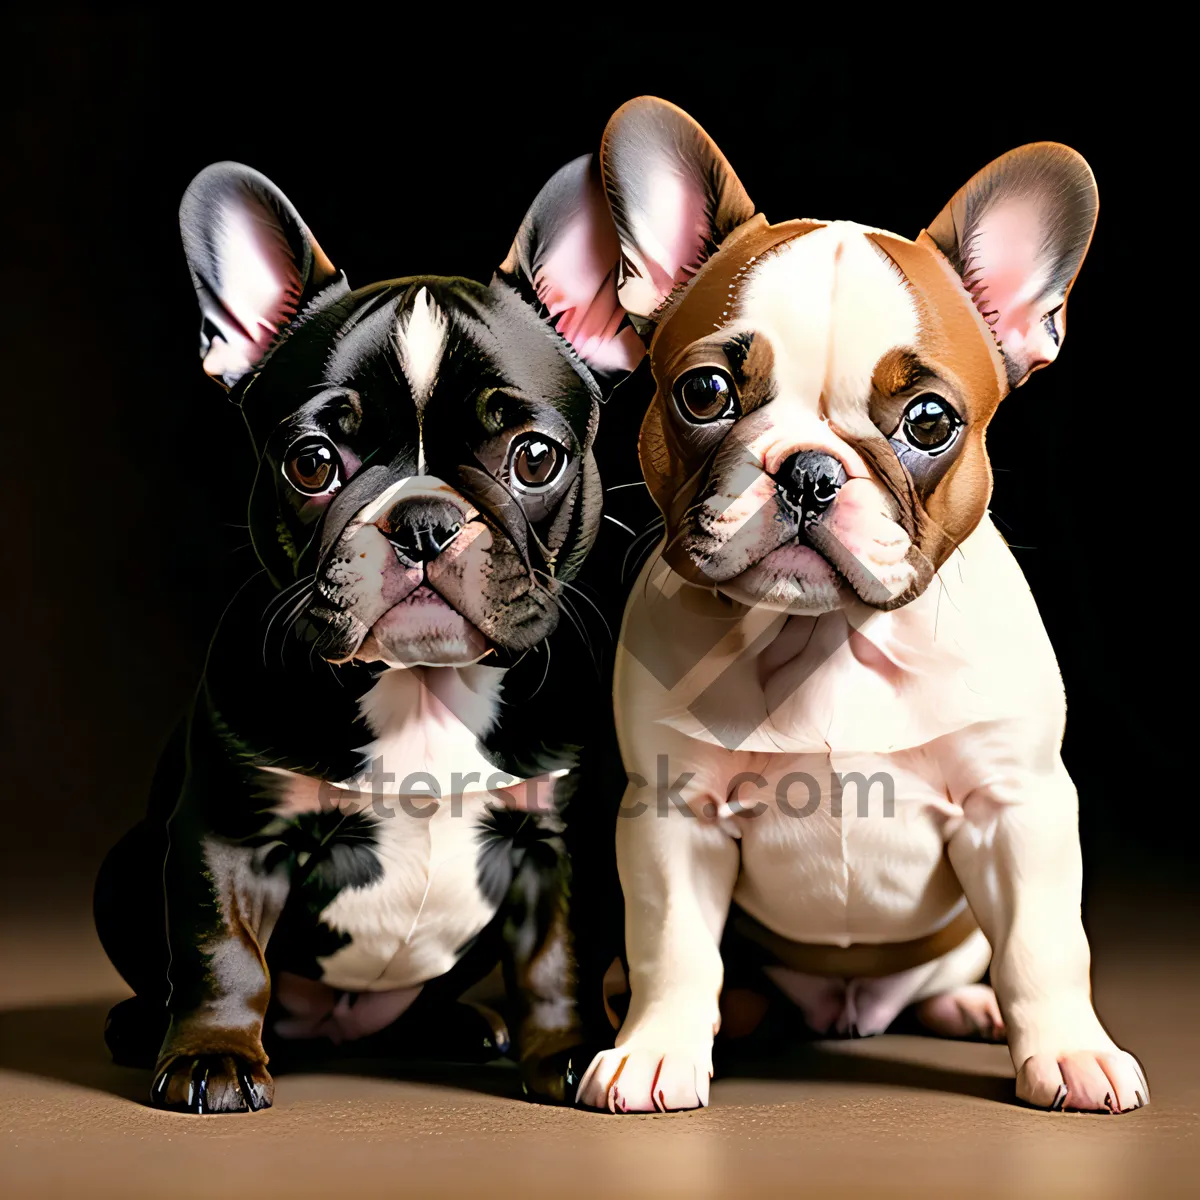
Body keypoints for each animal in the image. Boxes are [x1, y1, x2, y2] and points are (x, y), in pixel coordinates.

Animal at [94, 154, 643, 1108]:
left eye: (535, 457)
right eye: (312, 462)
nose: (423, 520)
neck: (421, 688)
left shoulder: (560, 841)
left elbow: (558, 959)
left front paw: (572, 1051)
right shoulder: (230, 836)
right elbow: (220, 952)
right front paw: (211, 1057)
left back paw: (460, 1027)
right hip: (126, 865)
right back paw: (140, 1026)